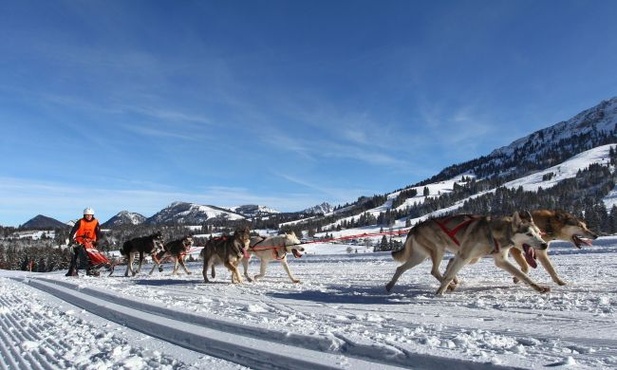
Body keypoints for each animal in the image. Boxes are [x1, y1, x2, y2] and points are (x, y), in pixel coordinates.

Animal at [384, 212, 548, 296]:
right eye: (529, 234)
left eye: (539, 233)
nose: (544, 244)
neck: (493, 231)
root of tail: (415, 227)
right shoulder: (464, 255)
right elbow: (449, 275)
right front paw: (440, 292)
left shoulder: (500, 260)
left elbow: (523, 275)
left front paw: (539, 288)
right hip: (438, 250)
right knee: (434, 270)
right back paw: (449, 286)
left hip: (420, 256)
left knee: (401, 268)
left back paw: (389, 285)